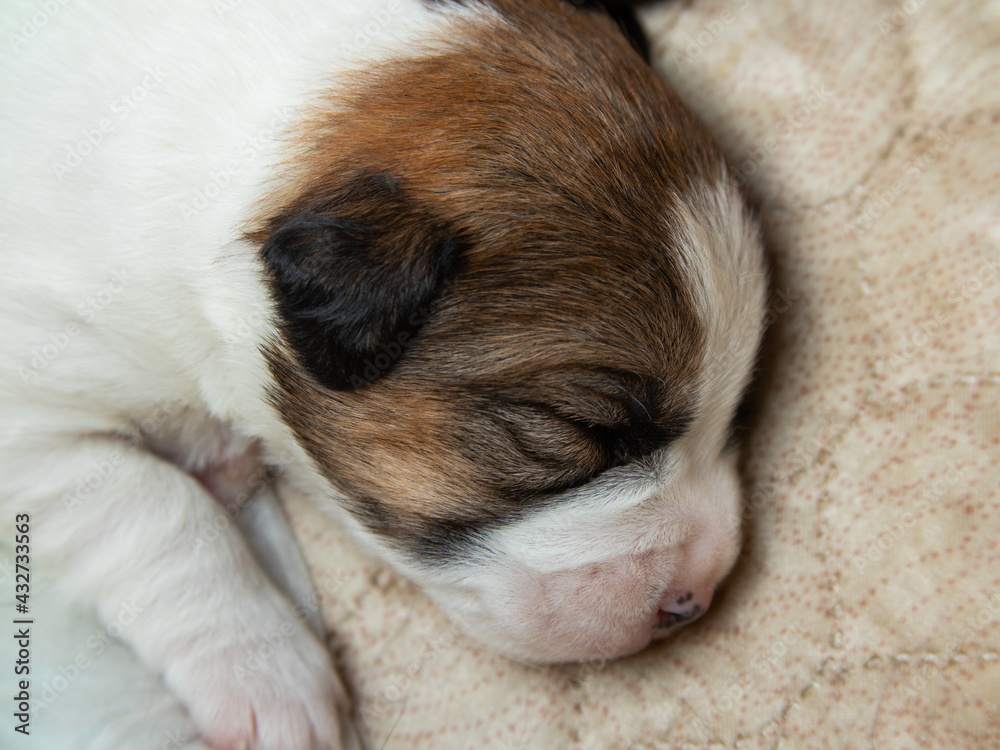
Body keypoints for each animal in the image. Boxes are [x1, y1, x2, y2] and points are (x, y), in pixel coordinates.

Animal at [0, 1, 764, 750]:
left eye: (736, 407)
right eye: (585, 431)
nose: (697, 598)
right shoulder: (35, 395)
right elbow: (161, 506)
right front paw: (267, 679)